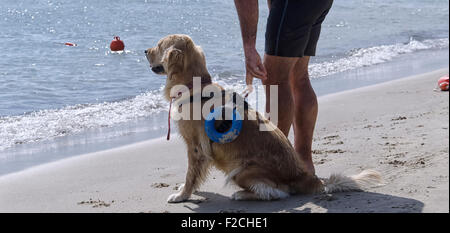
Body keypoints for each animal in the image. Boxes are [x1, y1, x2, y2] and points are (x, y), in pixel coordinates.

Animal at [145, 33, 384, 203]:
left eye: (159, 45)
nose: (145, 50)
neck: (195, 86)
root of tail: (306, 176)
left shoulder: (196, 147)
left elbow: (190, 174)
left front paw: (182, 195)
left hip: (241, 170)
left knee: (276, 193)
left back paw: (242, 195)